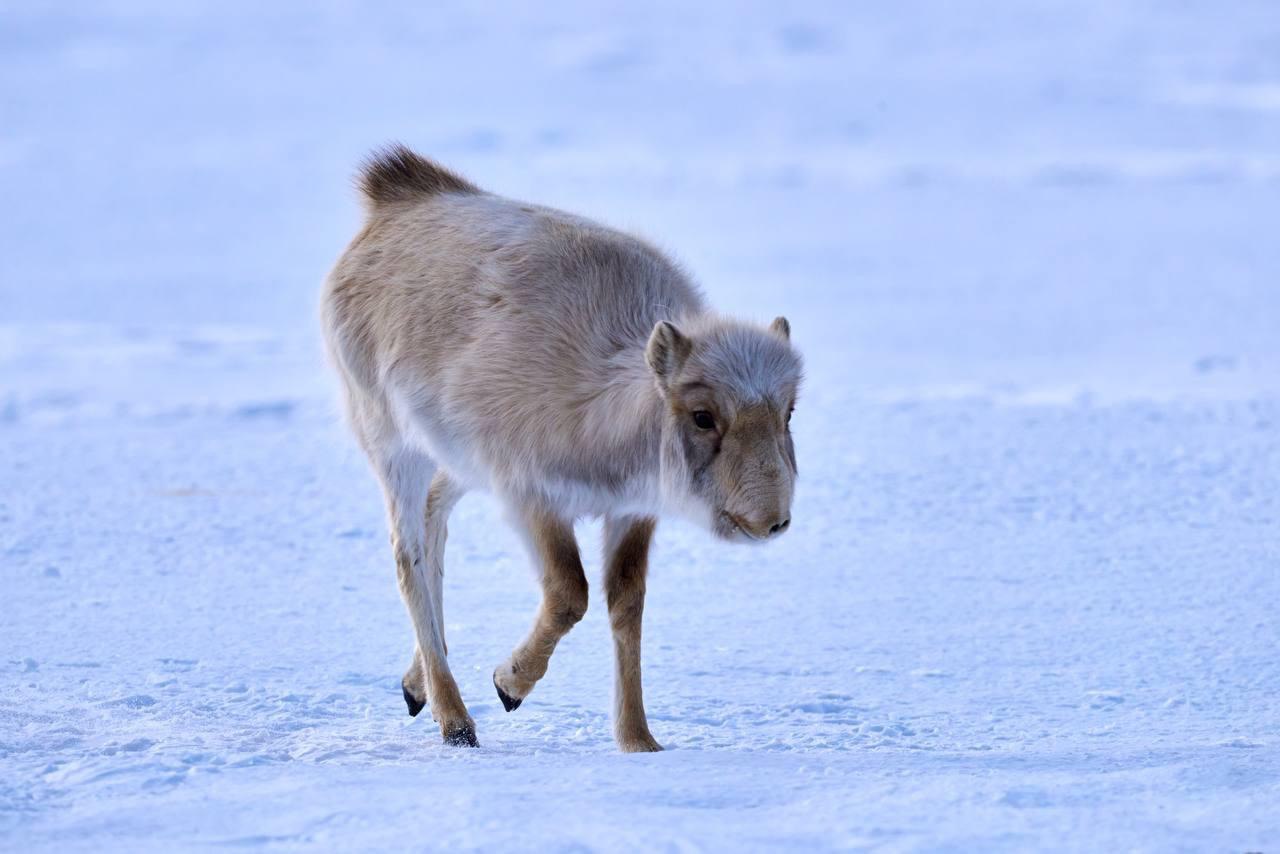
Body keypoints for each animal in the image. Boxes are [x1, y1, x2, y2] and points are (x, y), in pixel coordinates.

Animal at [320, 147, 798, 747]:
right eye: (703, 416)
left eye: (789, 412)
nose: (772, 520)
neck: (604, 411)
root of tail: (395, 197)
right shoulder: (532, 498)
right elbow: (572, 593)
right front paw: (509, 683)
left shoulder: (632, 512)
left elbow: (626, 604)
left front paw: (638, 739)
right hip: (393, 446)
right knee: (407, 556)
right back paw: (454, 718)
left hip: (457, 460)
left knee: (434, 517)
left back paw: (417, 686)